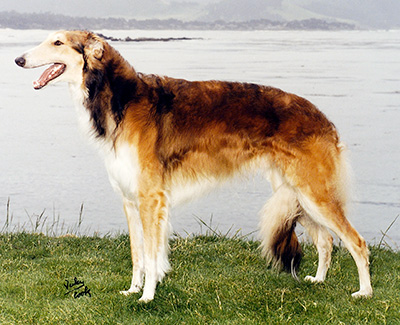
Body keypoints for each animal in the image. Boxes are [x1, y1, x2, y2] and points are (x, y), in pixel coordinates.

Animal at [14, 30, 372, 302]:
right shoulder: (130, 199)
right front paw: (132, 290)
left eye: (57, 42)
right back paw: (319, 280)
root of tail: (324, 119)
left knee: (356, 242)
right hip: (297, 193)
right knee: (326, 241)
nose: (18, 60)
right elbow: (137, 254)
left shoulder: (151, 198)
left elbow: (152, 254)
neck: (122, 99)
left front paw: (147, 296)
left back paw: (364, 292)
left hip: (313, 193)